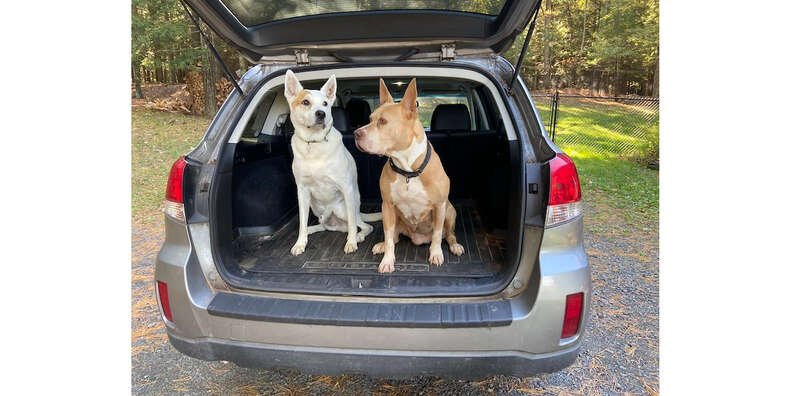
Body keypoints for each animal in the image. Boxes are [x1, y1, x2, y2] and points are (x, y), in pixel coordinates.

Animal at [284, 70, 382, 256]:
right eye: (305, 102)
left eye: (325, 103)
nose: (321, 113)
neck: (314, 143)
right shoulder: (302, 191)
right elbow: (302, 222)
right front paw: (300, 243)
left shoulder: (345, 187)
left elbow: (353, 226)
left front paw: (351, 242)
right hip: (320, 212)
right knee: (323, 225)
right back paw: (310, 230)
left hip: (341, 209)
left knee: (362, 225)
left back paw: (359, 235)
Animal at [354, 79, 464, 274]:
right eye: (370, 119)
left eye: (383, 121)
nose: (355, 133)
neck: (408, 169)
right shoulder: (387, 206)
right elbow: (389, 237)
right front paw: (387, 260)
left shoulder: (439, 206)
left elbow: (437, 234)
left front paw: (436, 254)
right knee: (394, 237)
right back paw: (382, 245)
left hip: (450, 211)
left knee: (448, 234)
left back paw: (455, 245)